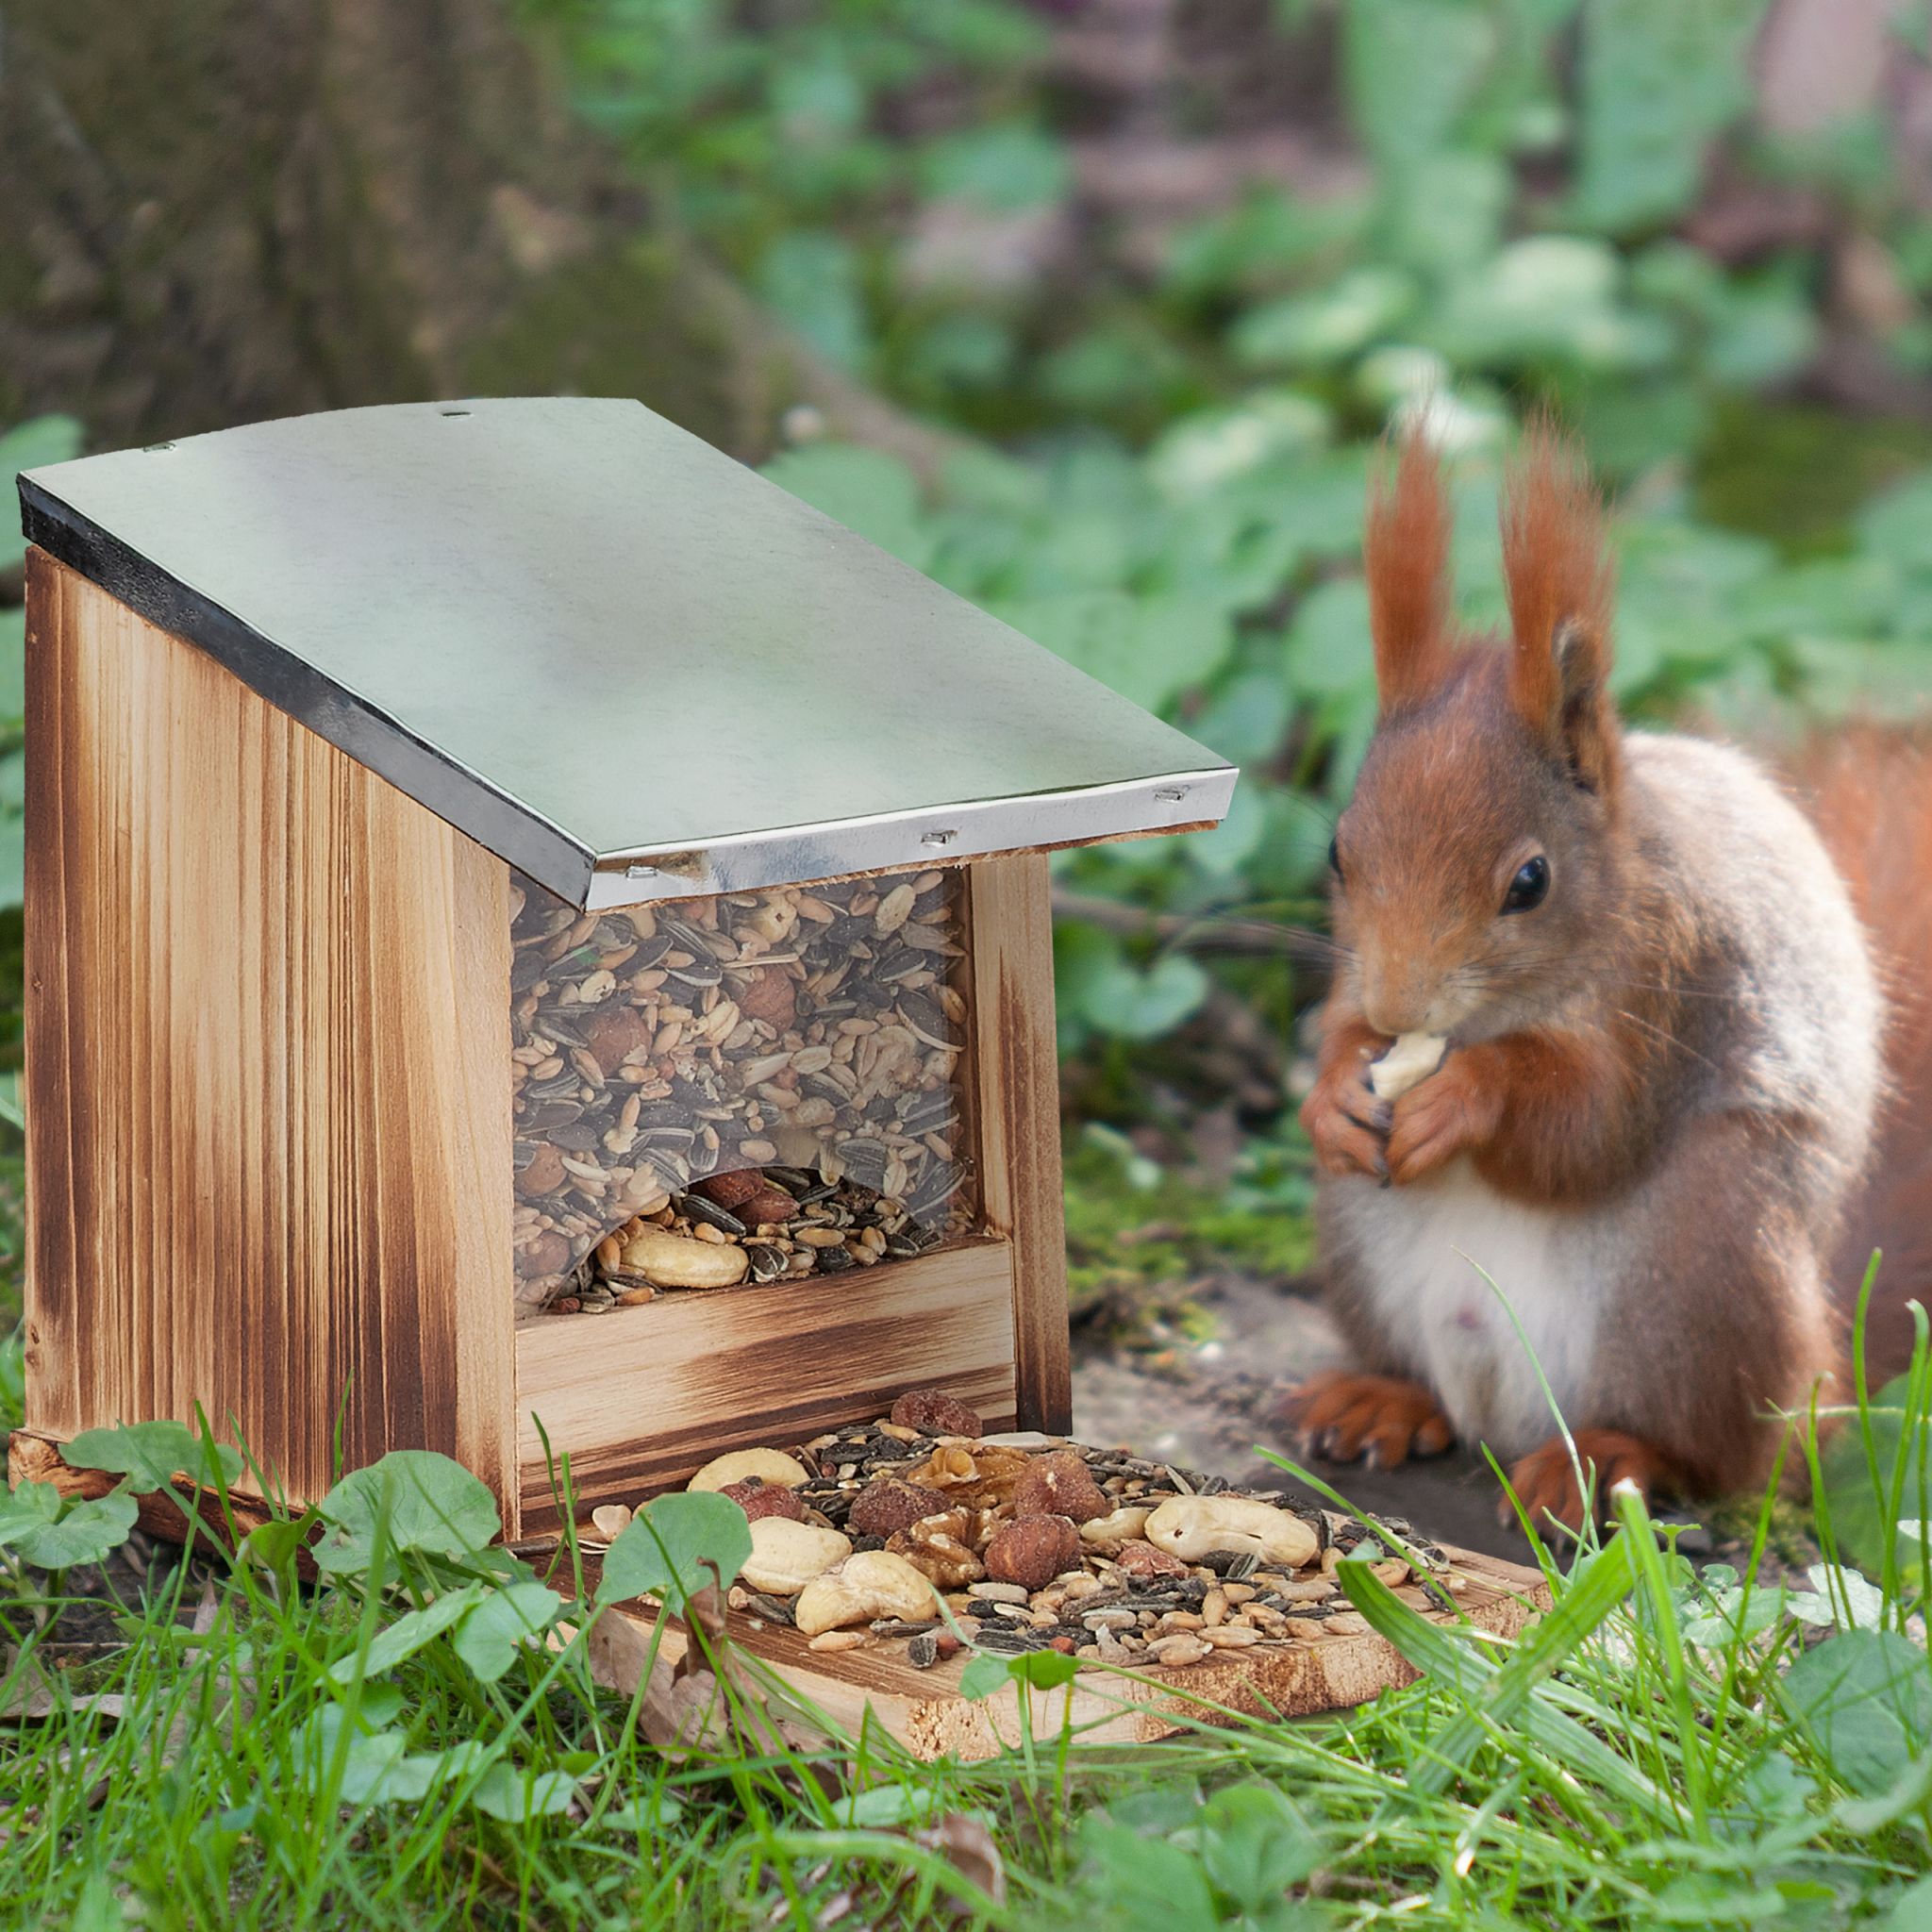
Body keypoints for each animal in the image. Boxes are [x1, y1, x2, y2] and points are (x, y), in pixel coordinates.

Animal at [1281, 423, 1932, 1530]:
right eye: (1335, 851)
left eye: (1529, 881)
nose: (1399, 1006)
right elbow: (1334, 1030)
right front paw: (1333, 1092)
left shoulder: (1669, 976)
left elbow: (1589, 1126)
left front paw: (1467, 1093)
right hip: (1359, 1242)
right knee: (1425, 1381)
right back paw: (1381, 1397)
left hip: (1704, 1266)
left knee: (1727, 1456)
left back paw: (1605, 1456)